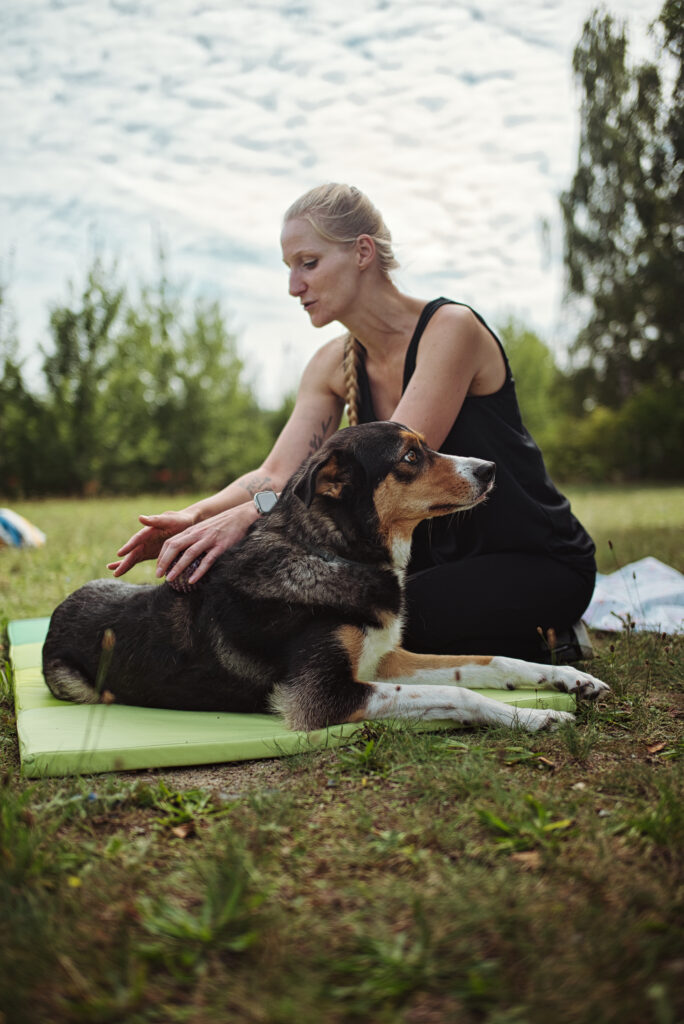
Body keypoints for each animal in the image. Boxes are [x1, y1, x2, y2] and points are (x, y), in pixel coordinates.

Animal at [44, 419, 610, 733]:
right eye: (410, 456)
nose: (490, 469)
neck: (334, 553)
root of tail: (56, 611)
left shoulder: (385, 657)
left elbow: (491, 661)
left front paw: (571, 680)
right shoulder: (324, 697)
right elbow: (461, 694)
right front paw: (538, 718)